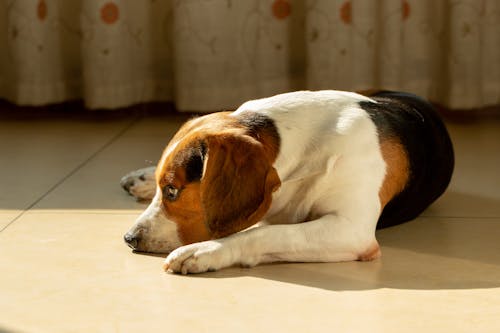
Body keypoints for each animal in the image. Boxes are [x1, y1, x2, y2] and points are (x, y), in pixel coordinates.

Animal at [121, 90, 454, 272]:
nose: (130, 238)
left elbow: (261, 233)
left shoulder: (351, 230)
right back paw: (140, 178)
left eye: (172, 191)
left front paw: (206, 251)